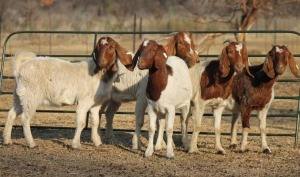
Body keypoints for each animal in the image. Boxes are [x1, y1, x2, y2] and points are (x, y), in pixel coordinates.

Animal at [1, 36, 132, 149]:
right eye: (98, 48)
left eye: (112, 47)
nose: (101, 62)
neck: (100, 75)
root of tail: (19, 68)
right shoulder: (83, 102)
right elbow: (81, 123)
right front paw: (76, 145)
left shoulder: (96, 104)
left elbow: (95, 122)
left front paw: (97, 142)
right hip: (30, 97)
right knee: (25, 119)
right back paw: (32, 143)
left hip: (19, 96)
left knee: (11, 114)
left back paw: (7, 140)